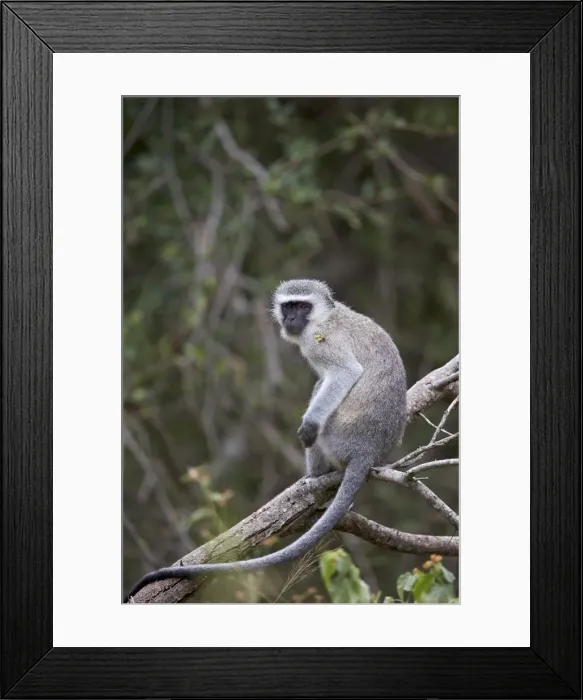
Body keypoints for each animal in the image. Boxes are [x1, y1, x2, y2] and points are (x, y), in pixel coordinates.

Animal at [124, 279, 406, 602]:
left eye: (302, 306)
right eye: (289, 306)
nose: (291, 319)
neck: (325, 317)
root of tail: (368, 450)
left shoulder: (319, 342)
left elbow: (344, 372)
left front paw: (310, 425)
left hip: (338, 437)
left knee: (321, 392)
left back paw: (314, 474)